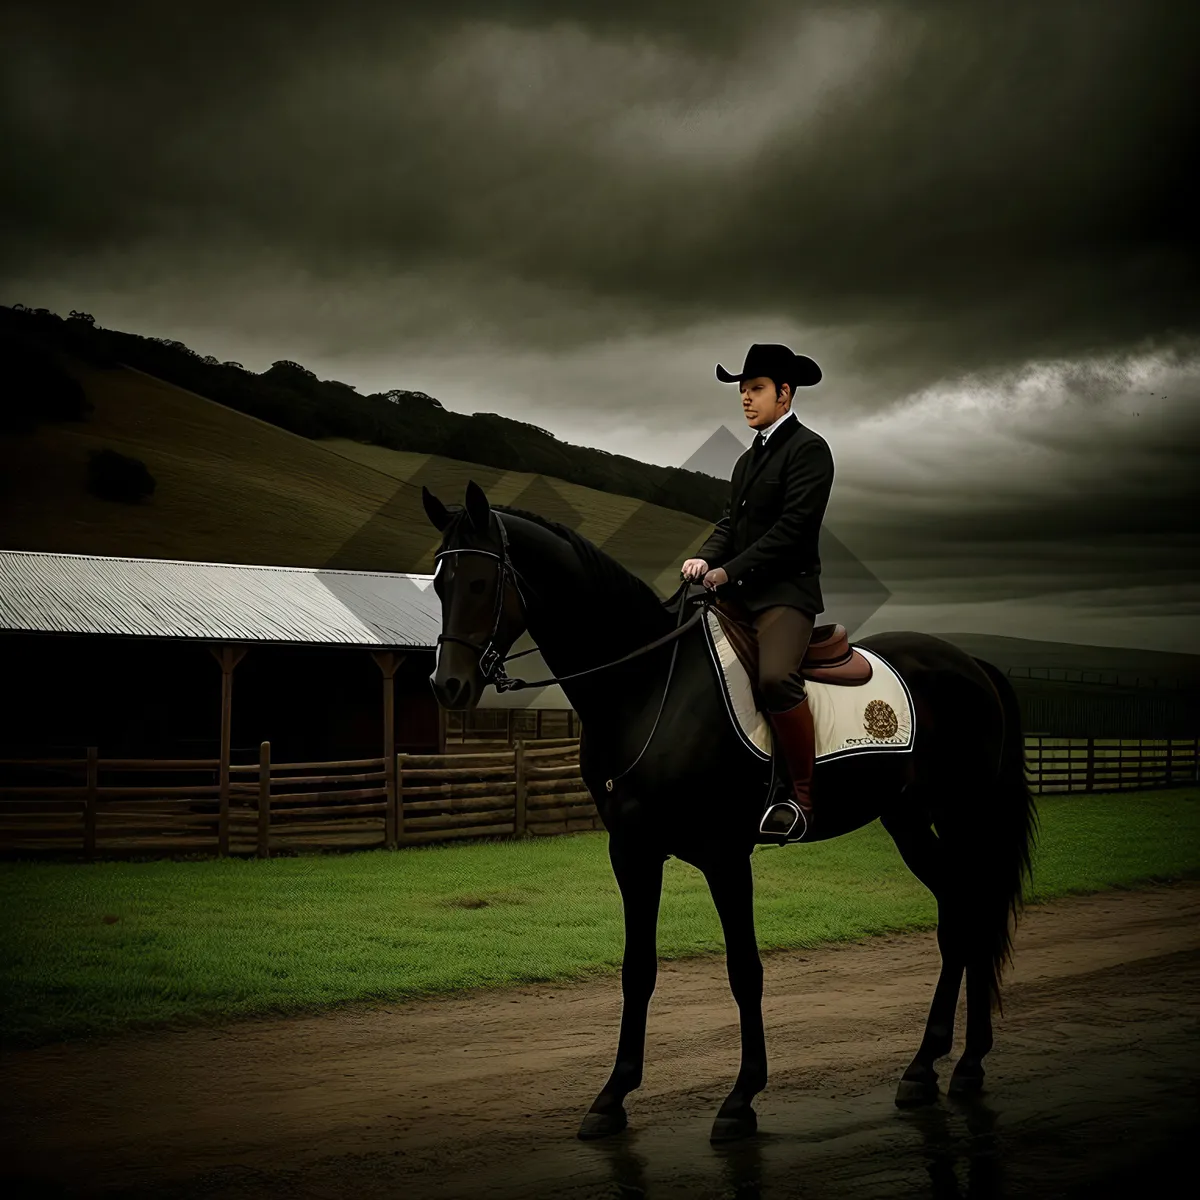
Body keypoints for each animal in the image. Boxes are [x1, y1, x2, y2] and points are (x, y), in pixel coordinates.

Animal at [427, 480, 1036, 1142]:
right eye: (439, 584)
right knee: (961, 912)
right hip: (909, 820)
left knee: (970, 912)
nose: (447, 686)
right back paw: (939, 1065)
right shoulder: (632, 853)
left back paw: (955, 1063)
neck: (649, 689)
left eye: (480, 583)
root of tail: (972, 665)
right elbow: (637, 969)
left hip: (963, 812)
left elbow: (745, 970)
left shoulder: (724, 856)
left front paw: (741, 1097)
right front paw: (612, 1097)